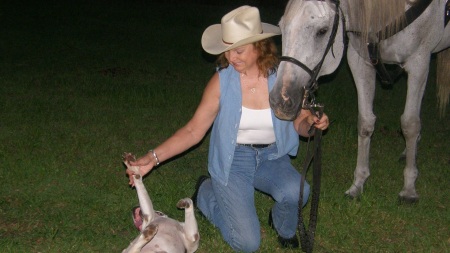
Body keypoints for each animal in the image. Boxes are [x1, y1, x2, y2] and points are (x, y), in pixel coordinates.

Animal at [268, 0, 448, 202]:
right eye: (282, 27)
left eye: (322, 31)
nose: (280, 99)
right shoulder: (360, 61)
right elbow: (365, 123)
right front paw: (358, 183)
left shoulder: (419, 62)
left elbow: (410, 124)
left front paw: (409, 187)